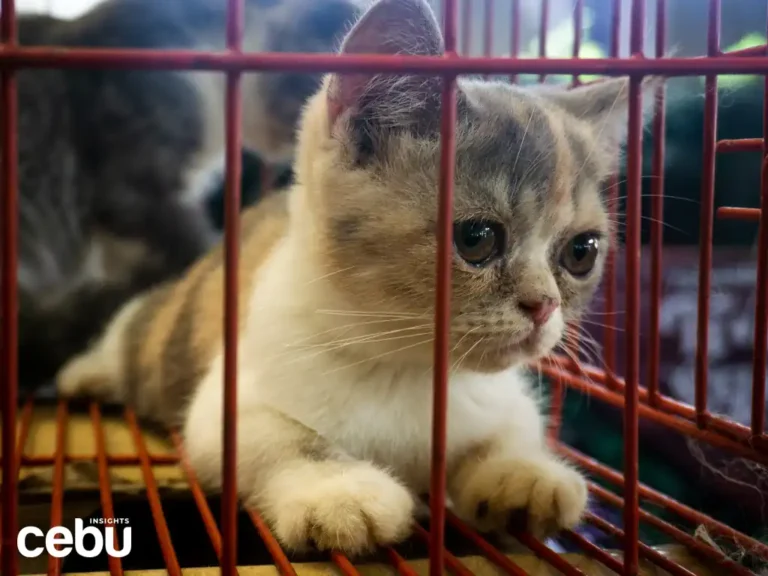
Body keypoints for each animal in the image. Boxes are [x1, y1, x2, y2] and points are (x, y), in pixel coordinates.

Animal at [57, 0, 656, 556]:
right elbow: (279, 437)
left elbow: (512, 429)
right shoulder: (229, 398)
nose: (543, 305)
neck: (406, 371)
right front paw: (341, 492)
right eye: (477, 238)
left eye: (581, 252)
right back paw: (83, 373)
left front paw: (523, 474)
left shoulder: (501, 396)